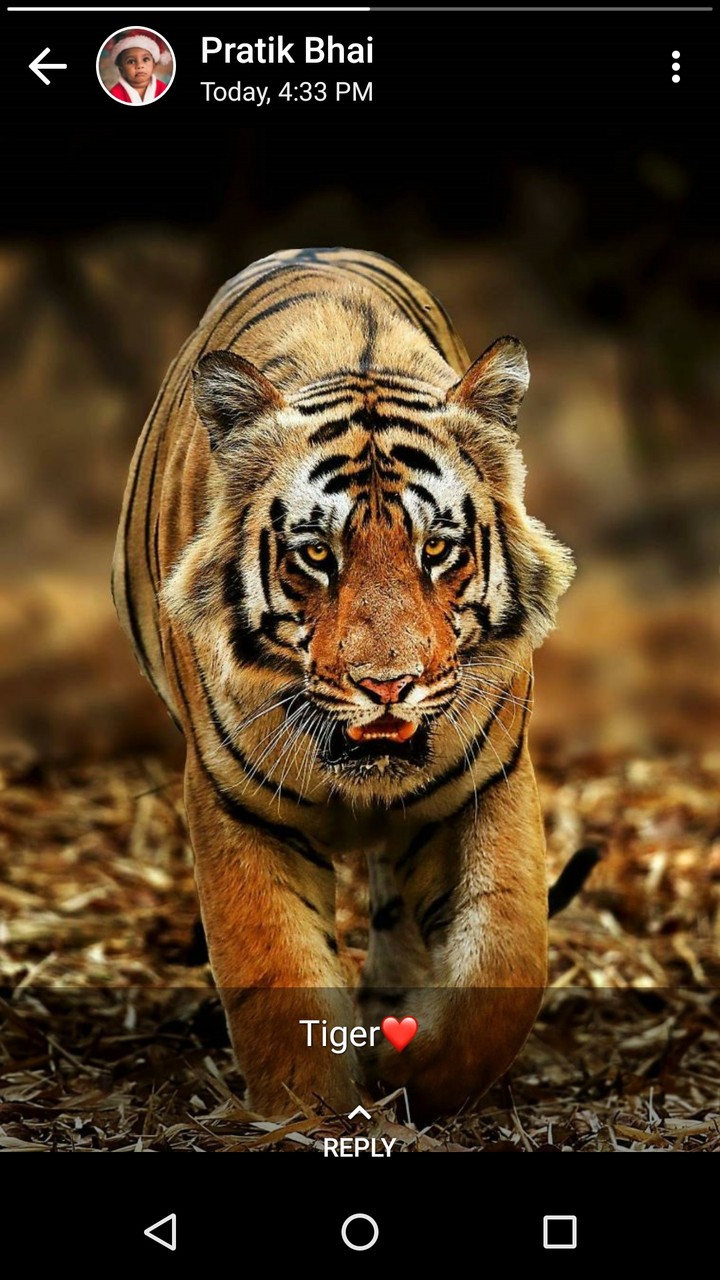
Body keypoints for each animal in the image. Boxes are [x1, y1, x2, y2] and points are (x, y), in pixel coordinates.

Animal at [112, 247, 575, 1120]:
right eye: (318, 555)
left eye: (437, 549)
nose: (387, 686)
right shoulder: (234, 800)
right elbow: (276, 972)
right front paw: (308, 1112)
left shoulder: (490, 779)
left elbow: (503, 965)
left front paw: (412, 1075)